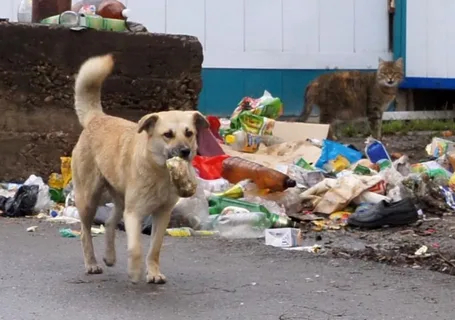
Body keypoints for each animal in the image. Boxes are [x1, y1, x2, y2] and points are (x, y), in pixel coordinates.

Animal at [71, 53, 208, 284]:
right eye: (168, 134)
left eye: (189, 133)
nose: (185, 151)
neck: (161, 173)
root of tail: (97, 118)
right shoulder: (134, 213)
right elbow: (135, 247)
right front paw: (135, 271)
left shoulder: (162, 214)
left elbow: (154, 248)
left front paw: (153, 273)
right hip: (89, 198)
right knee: (85, 231)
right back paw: (91, 263)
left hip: (120, 198)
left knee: (110, 222)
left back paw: (109, 256)